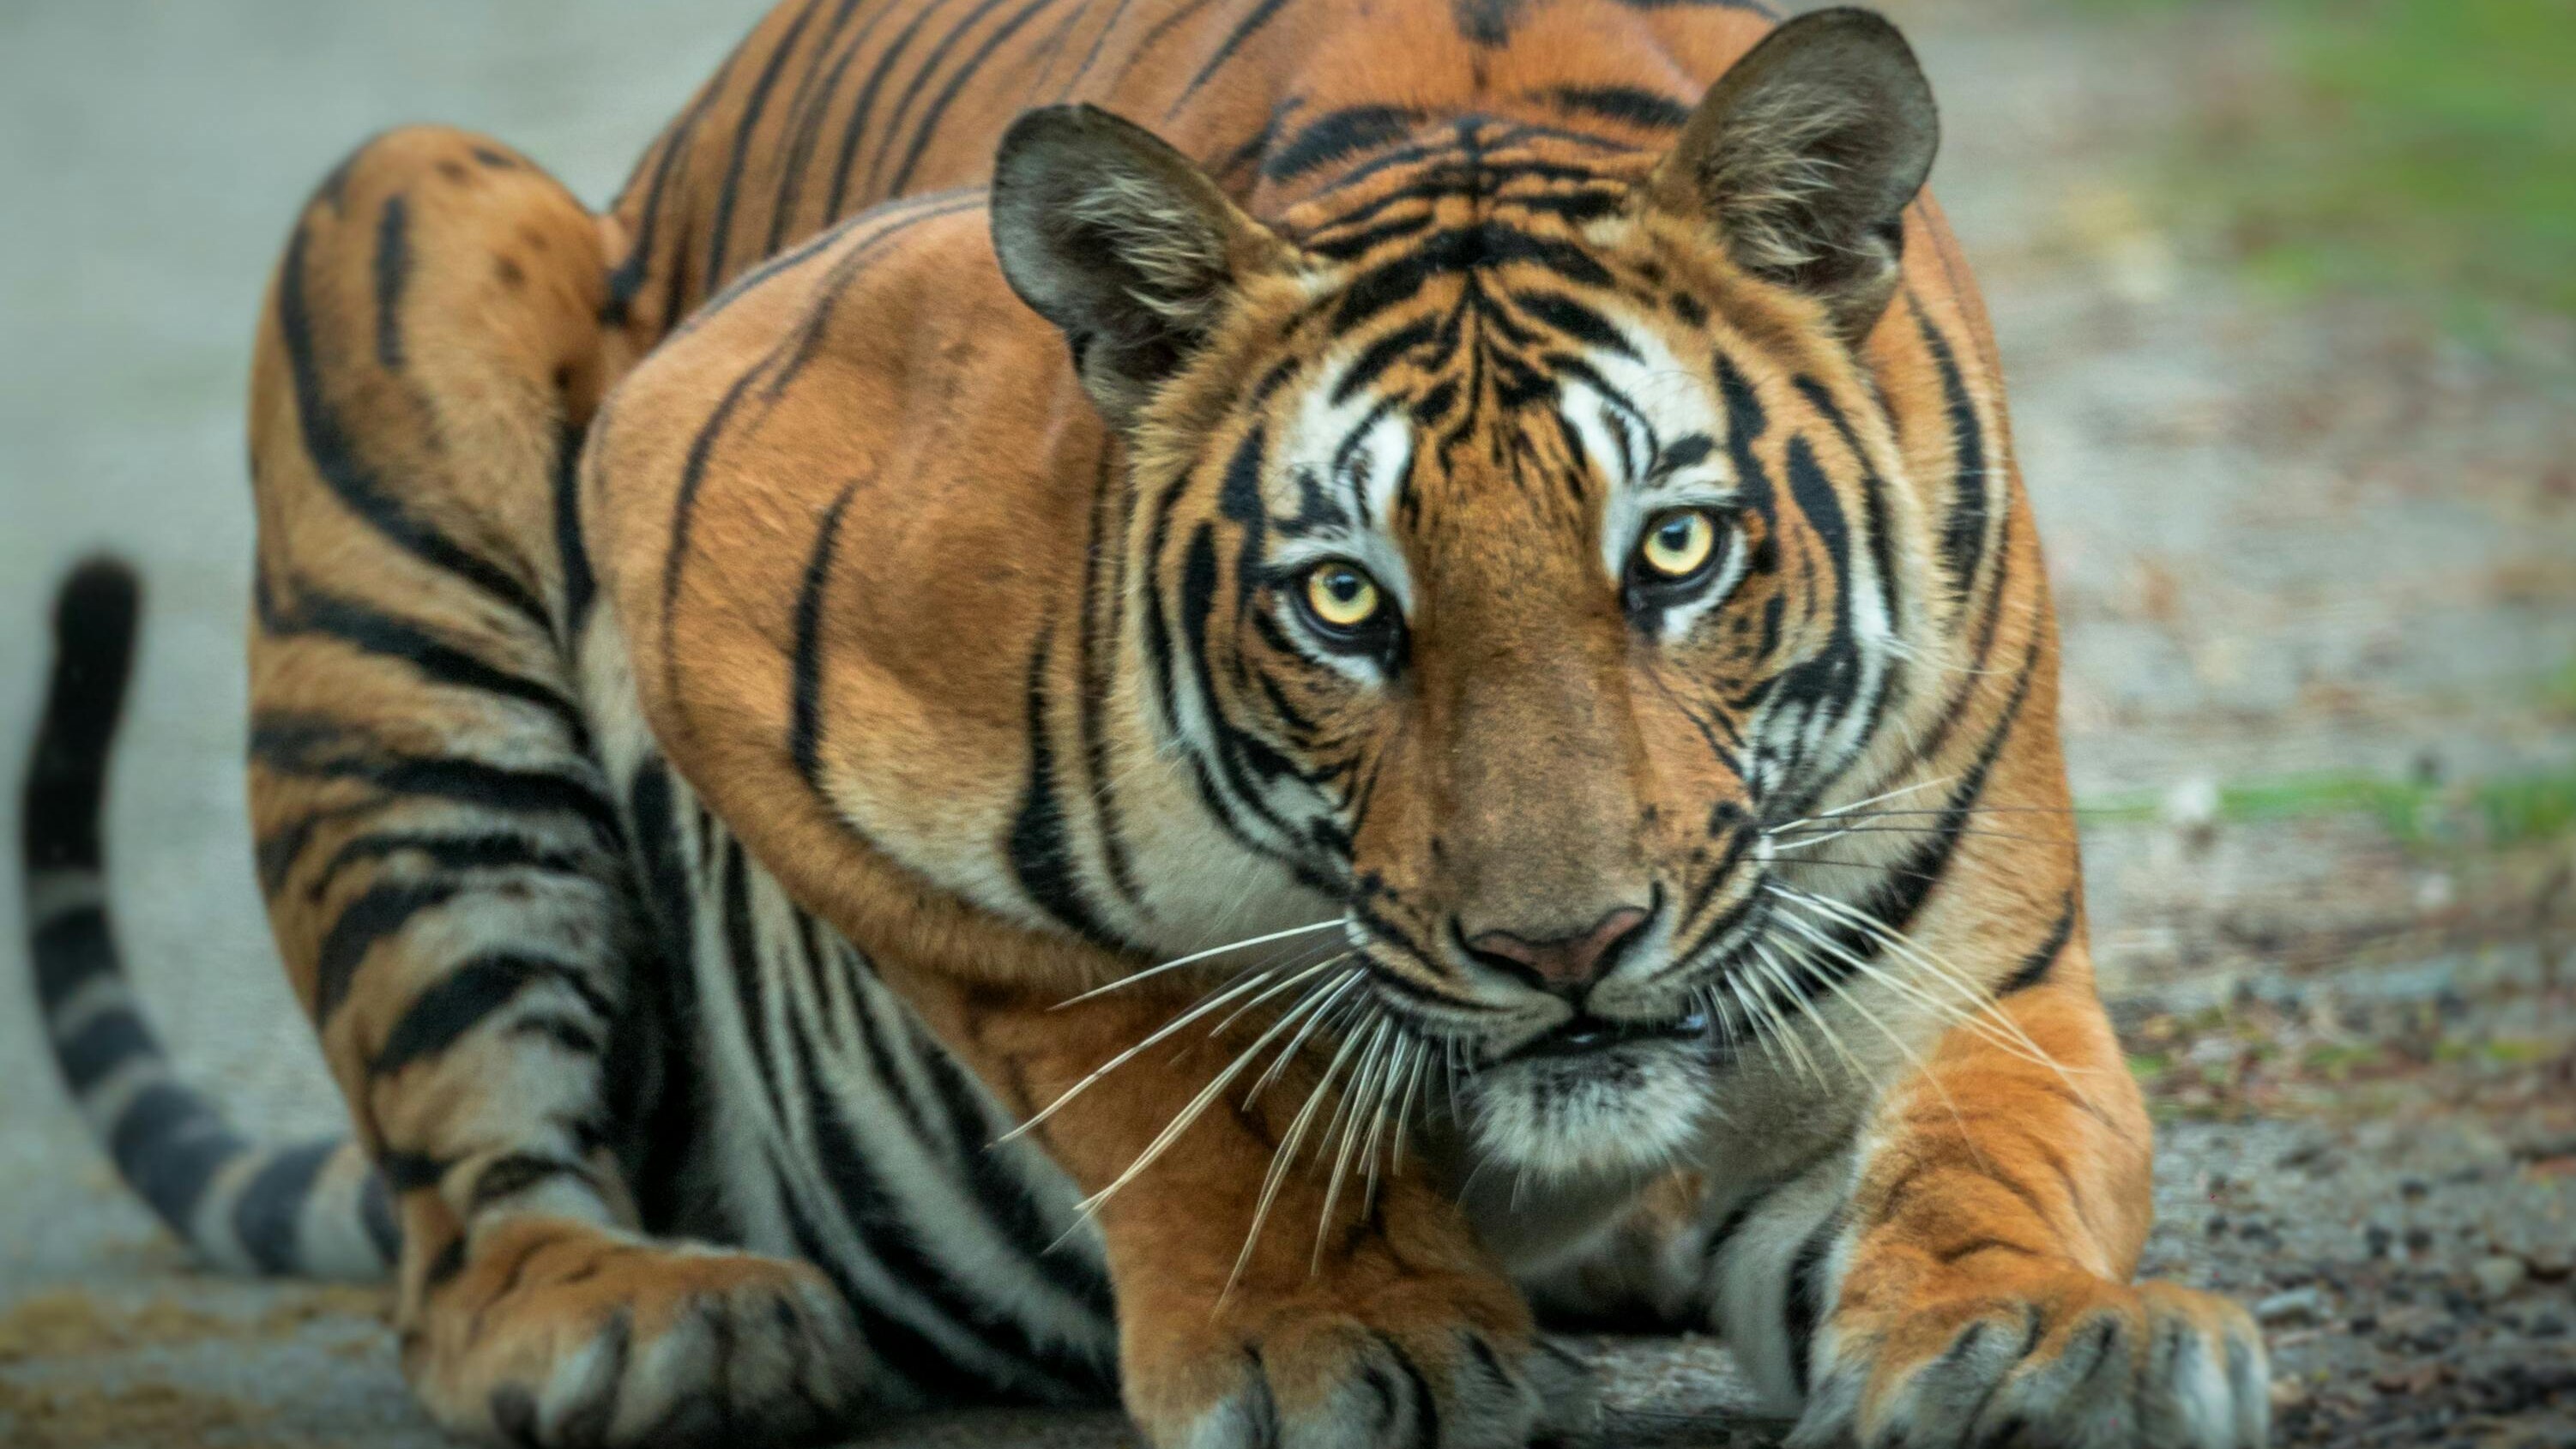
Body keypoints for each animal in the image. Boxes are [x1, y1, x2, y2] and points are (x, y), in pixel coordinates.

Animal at [16, 0, 2274, 1444]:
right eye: (1345, 601)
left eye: (1678, 551)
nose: (1564, 950)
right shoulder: (701, 525)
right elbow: (1165, 1050)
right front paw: (1336, 1330)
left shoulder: (1965, 969)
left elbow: (1993, 1142)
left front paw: (2044, 1336)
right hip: (412, 239)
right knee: (463, 1225)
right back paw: (651, 1324)